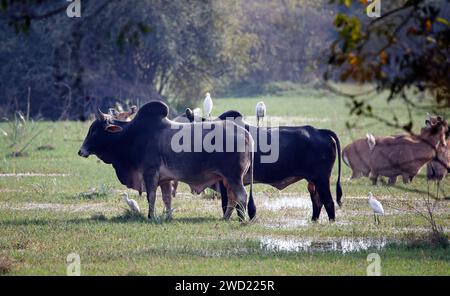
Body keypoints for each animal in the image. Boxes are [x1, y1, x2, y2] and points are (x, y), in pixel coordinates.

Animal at [77, 102, 253, 220]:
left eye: (94, 130)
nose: (81, 151)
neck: (130, 136)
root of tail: (245, 133)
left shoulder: (150, 173)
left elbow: (151, 196)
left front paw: (151, 217)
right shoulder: (165, 179)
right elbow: (167, 199)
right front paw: (168, 217)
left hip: (233, 177)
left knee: (242, 196)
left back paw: (243, 220)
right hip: (227, 179)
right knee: (232, 198)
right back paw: (226, 218)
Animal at [178, 110, 342, 221]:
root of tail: (320, 131)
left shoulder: (225, 181)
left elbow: (229, 202)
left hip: (322, 179)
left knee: (328, 202)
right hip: (313, 181)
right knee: (317, 201)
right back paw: (313, 221)